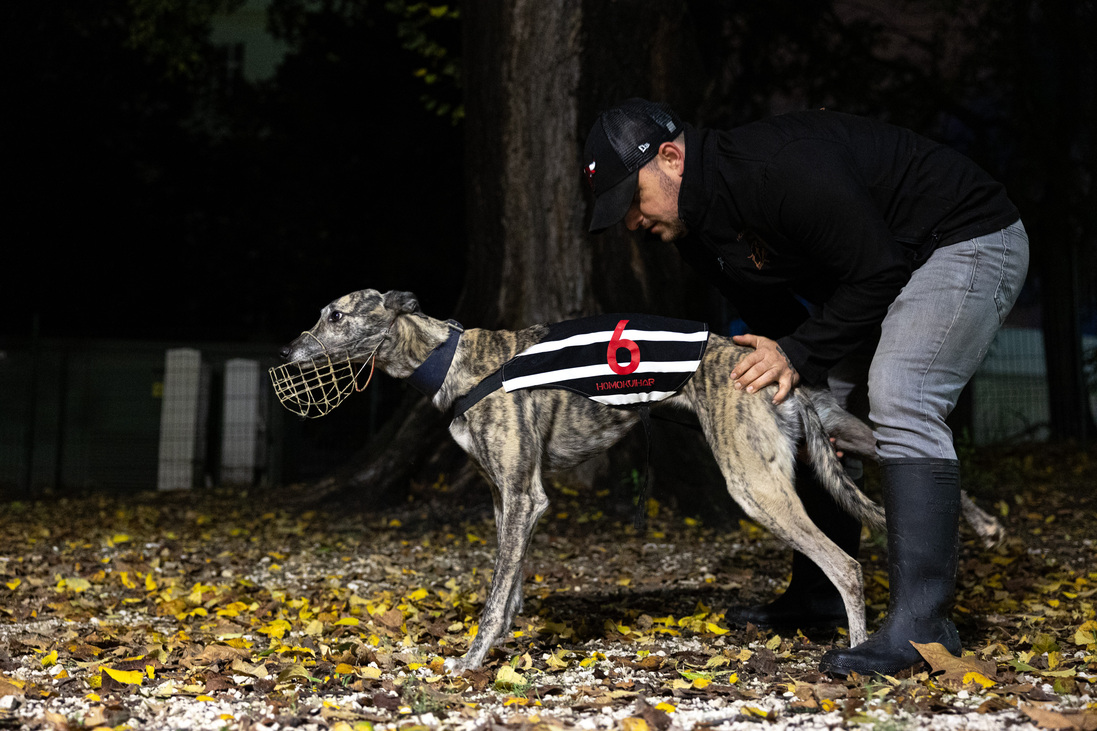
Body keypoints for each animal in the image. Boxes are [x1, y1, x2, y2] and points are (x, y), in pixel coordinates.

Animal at [276, 287, 1004, 667]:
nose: (285, 349)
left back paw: (854, 651)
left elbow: (493, 595)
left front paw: (473, 658)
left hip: (754, 483)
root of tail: (776, 373)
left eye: (336, 315)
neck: (449, 355)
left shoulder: (524, 496)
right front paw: (504, 642)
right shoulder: (506, 498)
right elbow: (509, 589)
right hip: (836, 429)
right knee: (904, 461)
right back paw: (987, 524)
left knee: (845, 564)